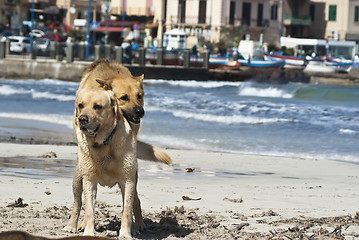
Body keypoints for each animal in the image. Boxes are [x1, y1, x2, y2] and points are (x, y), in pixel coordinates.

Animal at [64, 88, 143, 238]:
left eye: (97, 106)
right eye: (81, 105)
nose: (82, 119)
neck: (103, 143)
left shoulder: (128, 180)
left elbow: (127, 210)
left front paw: (125, 234)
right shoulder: (89, 180)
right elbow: (89, 210)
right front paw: (89, 233)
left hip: (134, 180)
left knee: (135, 202)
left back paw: (137, 227)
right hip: (78, 179)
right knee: (78, 202)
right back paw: (72, 226)